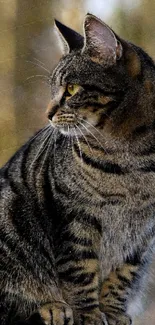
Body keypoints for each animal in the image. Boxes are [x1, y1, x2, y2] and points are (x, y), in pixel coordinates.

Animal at [0, 13, 155, 324]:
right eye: (52, 89)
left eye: (71, 89)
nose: (47, 113)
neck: (132, 156)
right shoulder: (74, 217)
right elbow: (80, 270)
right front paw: (89, 313)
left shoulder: (143, 232)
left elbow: (123, 274)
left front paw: (112, 311)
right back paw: (52, 306)